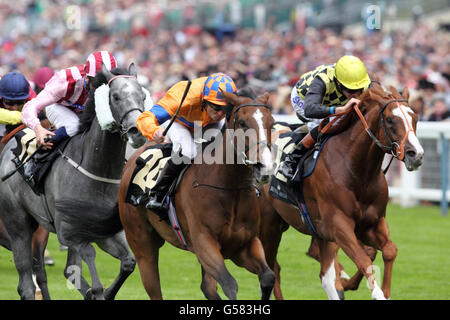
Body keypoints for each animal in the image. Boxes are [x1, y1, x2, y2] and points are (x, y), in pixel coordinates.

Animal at [0, 63, 147, 300]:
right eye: (115, 96)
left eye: (142, 96)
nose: (137, 131)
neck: (97, 172)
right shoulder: (70, 233)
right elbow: (90, 265)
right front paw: (97, 291)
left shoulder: (106, 231)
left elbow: (128, 262)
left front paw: (105, 292)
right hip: (18, 224)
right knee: (27, 282)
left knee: (56, 271)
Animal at [118, 90, 276, 300]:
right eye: (242, 123)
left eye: (272, 123)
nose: (264, 166)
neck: (228, 188)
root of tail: (131, 161)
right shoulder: (204, 243)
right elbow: (230, 284)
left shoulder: (244, 245)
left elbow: (268, 278)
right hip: (142, 243)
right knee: (153, 284)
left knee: (207, 287)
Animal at [262, 85, 424, 300]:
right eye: (390, 120)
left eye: (415, 118)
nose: (417, 155)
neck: (357, 171)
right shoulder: (339, 224)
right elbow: (364, 259)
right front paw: (375, 292)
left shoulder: (371, 223)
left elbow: (388, 250)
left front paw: (380, 290)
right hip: (270, 225)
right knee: (273, 268)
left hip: (316, 230)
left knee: (319, 267)